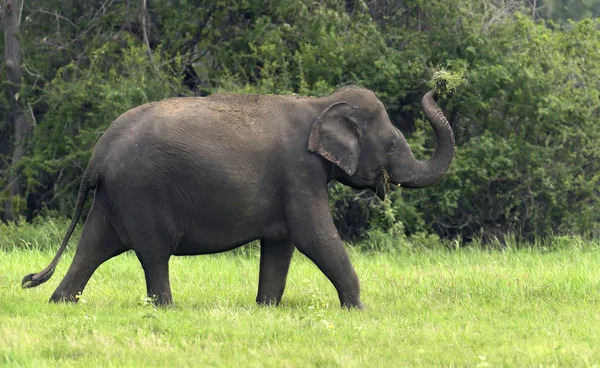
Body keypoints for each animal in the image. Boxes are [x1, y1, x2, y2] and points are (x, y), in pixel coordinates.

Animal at [22, 85, 454, 308]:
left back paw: (60, 303)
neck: (319, 103)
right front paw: (357, 310)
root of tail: (97, 155)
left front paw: (266, 308)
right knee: (153, 253)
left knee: (92, 246)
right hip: (139, 192)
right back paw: (166, 308)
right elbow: (313, 237)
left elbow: (282, 243)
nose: (437, 87)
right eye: (393, 145)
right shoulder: (299, 172)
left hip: (114, 196)